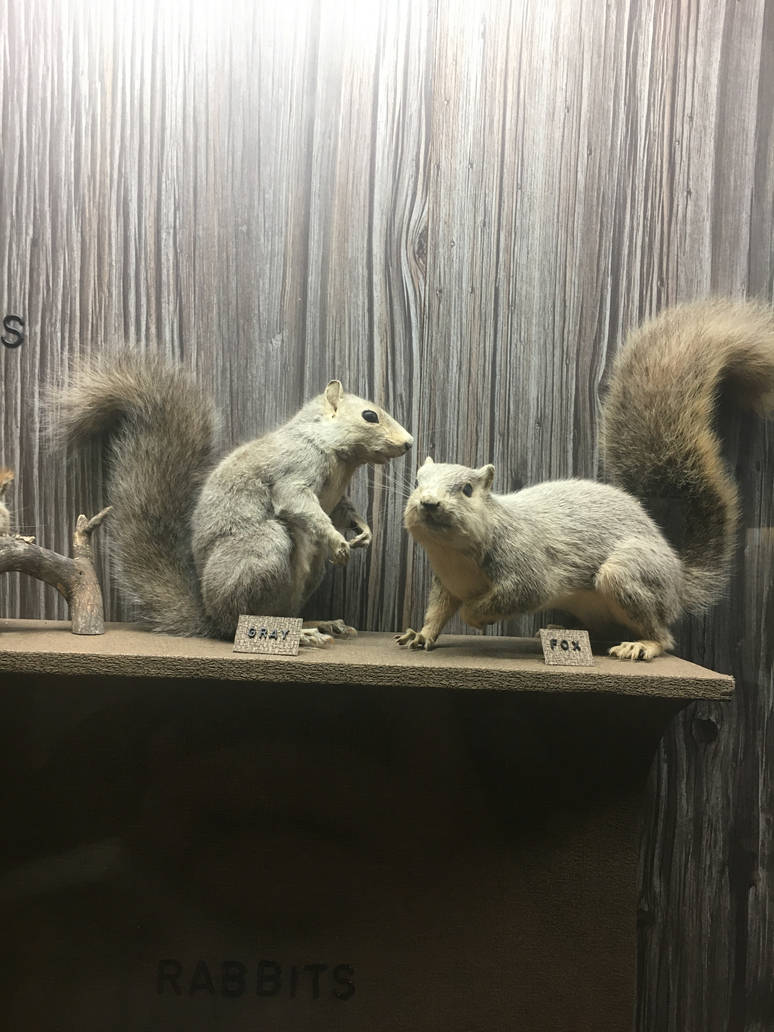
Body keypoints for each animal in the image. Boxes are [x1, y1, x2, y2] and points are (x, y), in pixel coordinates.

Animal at [55, 359, 413, 645]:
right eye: (369, 416)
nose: (409, 443)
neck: (339, 457)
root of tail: (210, 617)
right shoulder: (294, 471)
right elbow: (299, 504)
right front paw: (338, 542)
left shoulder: (335, 497)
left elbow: (342, 511)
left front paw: (363, 531)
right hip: (264, 549)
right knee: (241, 621)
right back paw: (302, 633)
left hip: (307, 574)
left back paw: (319, 624)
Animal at [397, 298, 774, 660]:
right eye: (417, 482)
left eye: (467, 489)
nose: (428, 503)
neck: (453, 554)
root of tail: (679, 583)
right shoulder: (448, 584)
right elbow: (438, 610)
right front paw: (421, 634)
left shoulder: (526, 566)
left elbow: (519, 594)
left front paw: (475, 617)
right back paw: (562, 632)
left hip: (627, 575)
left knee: (664, 637)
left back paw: (641, 646)